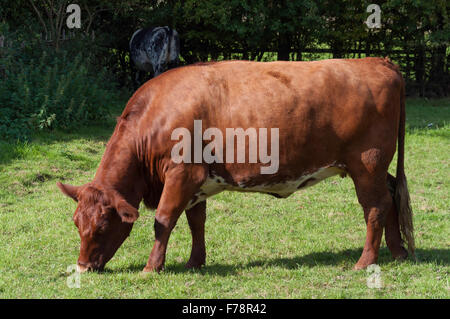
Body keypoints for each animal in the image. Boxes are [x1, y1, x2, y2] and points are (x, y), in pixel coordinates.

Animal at [57, 57, 414, 272]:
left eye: (102, 225)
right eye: (76, 223)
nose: (83, 267)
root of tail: (376, 61)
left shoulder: (182, 173)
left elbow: (163, 220)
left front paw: (151, 268)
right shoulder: (196, 182)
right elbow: (196, 222)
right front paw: (195, 262)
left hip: (366, 165)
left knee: (375, 207)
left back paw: (365, 262)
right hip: (376, 168)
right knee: (392, 196)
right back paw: (397, 253)